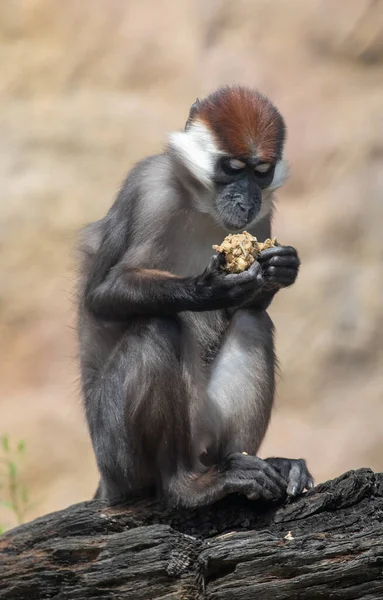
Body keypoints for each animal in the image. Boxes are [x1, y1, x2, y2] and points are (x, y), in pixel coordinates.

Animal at [78, 84, 316, 506]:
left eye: (260, 172)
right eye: (233, 169)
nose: (246, 199)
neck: (202, 204)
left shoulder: (262, 217)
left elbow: (252, 303)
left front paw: (282, 269)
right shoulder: (150, 188)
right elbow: (103, 296)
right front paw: (208, 289)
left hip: (205, 427)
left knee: (252, 321)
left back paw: (253, 464)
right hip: (118, 452)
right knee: (157, 327)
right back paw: (187, 485)